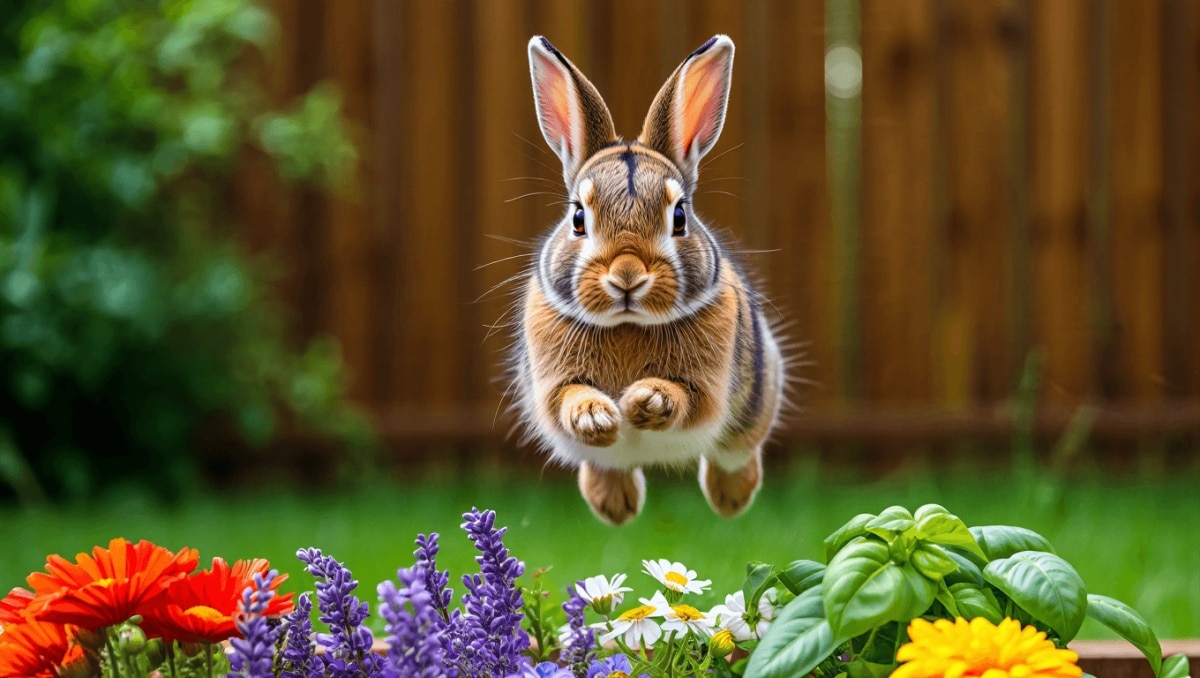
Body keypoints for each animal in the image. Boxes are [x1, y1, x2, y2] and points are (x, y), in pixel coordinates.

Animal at [512, 34, 785, 526]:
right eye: (578, 218)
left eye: (679, 217)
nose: (627, 275)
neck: (628, 323)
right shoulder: (550, 383)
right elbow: (568, 398)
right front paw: (597, 416)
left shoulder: (706, 386)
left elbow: (686, 398)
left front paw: (645, 401)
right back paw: (615, 507)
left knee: (736, 453)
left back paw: (730, 501)